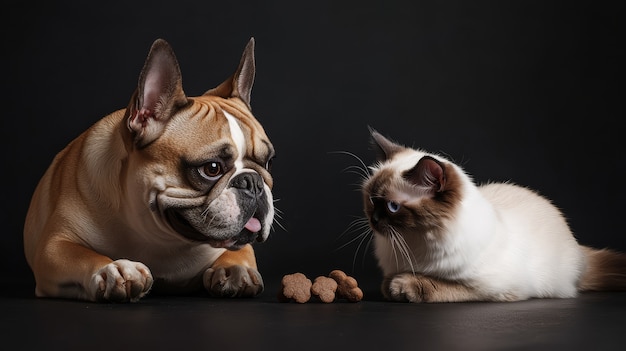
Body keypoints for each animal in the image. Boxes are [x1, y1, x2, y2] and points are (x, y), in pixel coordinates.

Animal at [24, 37, 272, 302]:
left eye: (267, 161)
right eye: (212, 168)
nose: (254, 182)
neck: (155, 235)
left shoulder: (237, 243)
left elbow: (239, 250)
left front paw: (236, 270)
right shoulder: (53, 247)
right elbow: (81, 255)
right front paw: (114, 268)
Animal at [356, 128, 624, 304]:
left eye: (392, 207)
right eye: (371, 200)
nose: (374, 220)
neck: (412, 242)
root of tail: (578, 249)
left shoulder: (494, 288)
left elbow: (439, 284)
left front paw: (403, 286)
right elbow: (388, 281)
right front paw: (392, 285)